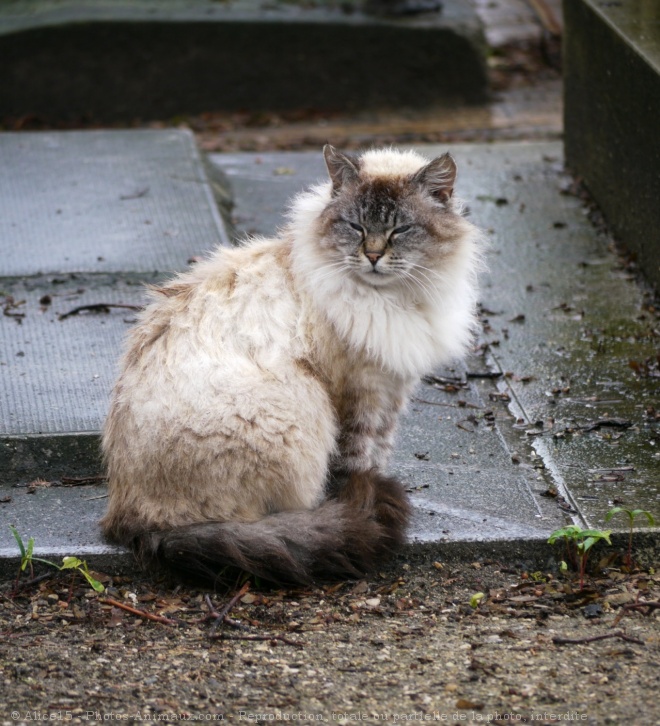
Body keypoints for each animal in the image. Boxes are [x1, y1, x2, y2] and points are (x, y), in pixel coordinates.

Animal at [104, 145, 484, 584]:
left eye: (400, 230)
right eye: (355, 227)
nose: (373, 256)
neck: (392, 299)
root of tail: (136, 525)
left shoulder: (390, 390)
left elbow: (379, 454)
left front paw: (373, 486)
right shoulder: (358, 395)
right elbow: (355, 463)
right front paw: (357, 501)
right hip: (300, 408)